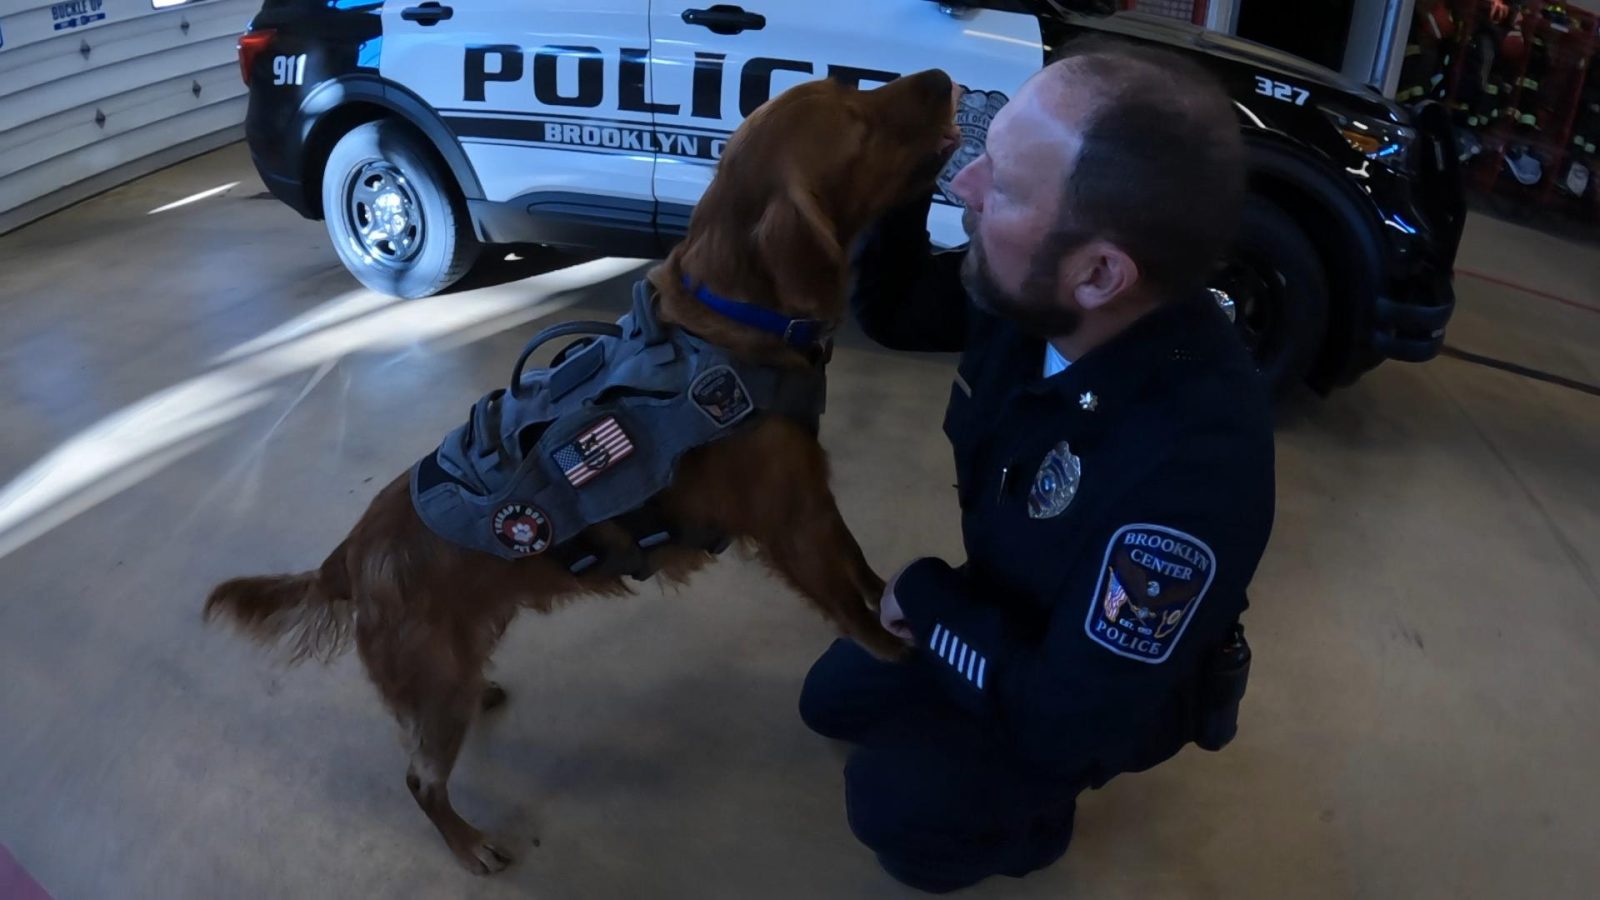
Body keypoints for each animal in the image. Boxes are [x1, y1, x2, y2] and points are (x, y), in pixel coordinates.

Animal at [208, 68, 966, 871]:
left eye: (852, 87)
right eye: (856, 117)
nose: (944, 79)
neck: (735, 324)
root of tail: (350, 556)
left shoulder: (816, 498)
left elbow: (863, 569)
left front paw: (898, 599)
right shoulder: (791, 521)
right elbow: (849, 604)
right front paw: (896, 650)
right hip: (433, 693)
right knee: (420, 780)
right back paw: (470, 844)